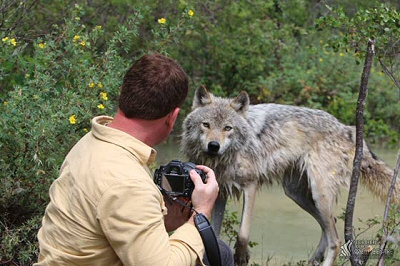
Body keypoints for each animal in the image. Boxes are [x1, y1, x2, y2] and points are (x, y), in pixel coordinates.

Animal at [182, 86, 400, 264]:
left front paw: (242, 256)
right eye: (206, 125)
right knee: (331, 226)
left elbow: (243, 233)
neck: (223, 159)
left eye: (228, 128)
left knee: (336, 240)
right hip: (297, 194)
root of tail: (347, 128)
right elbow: (215, 232)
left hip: (318, 194)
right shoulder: (220, 192)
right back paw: (314, 259)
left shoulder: (251, 185)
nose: (214, 146)